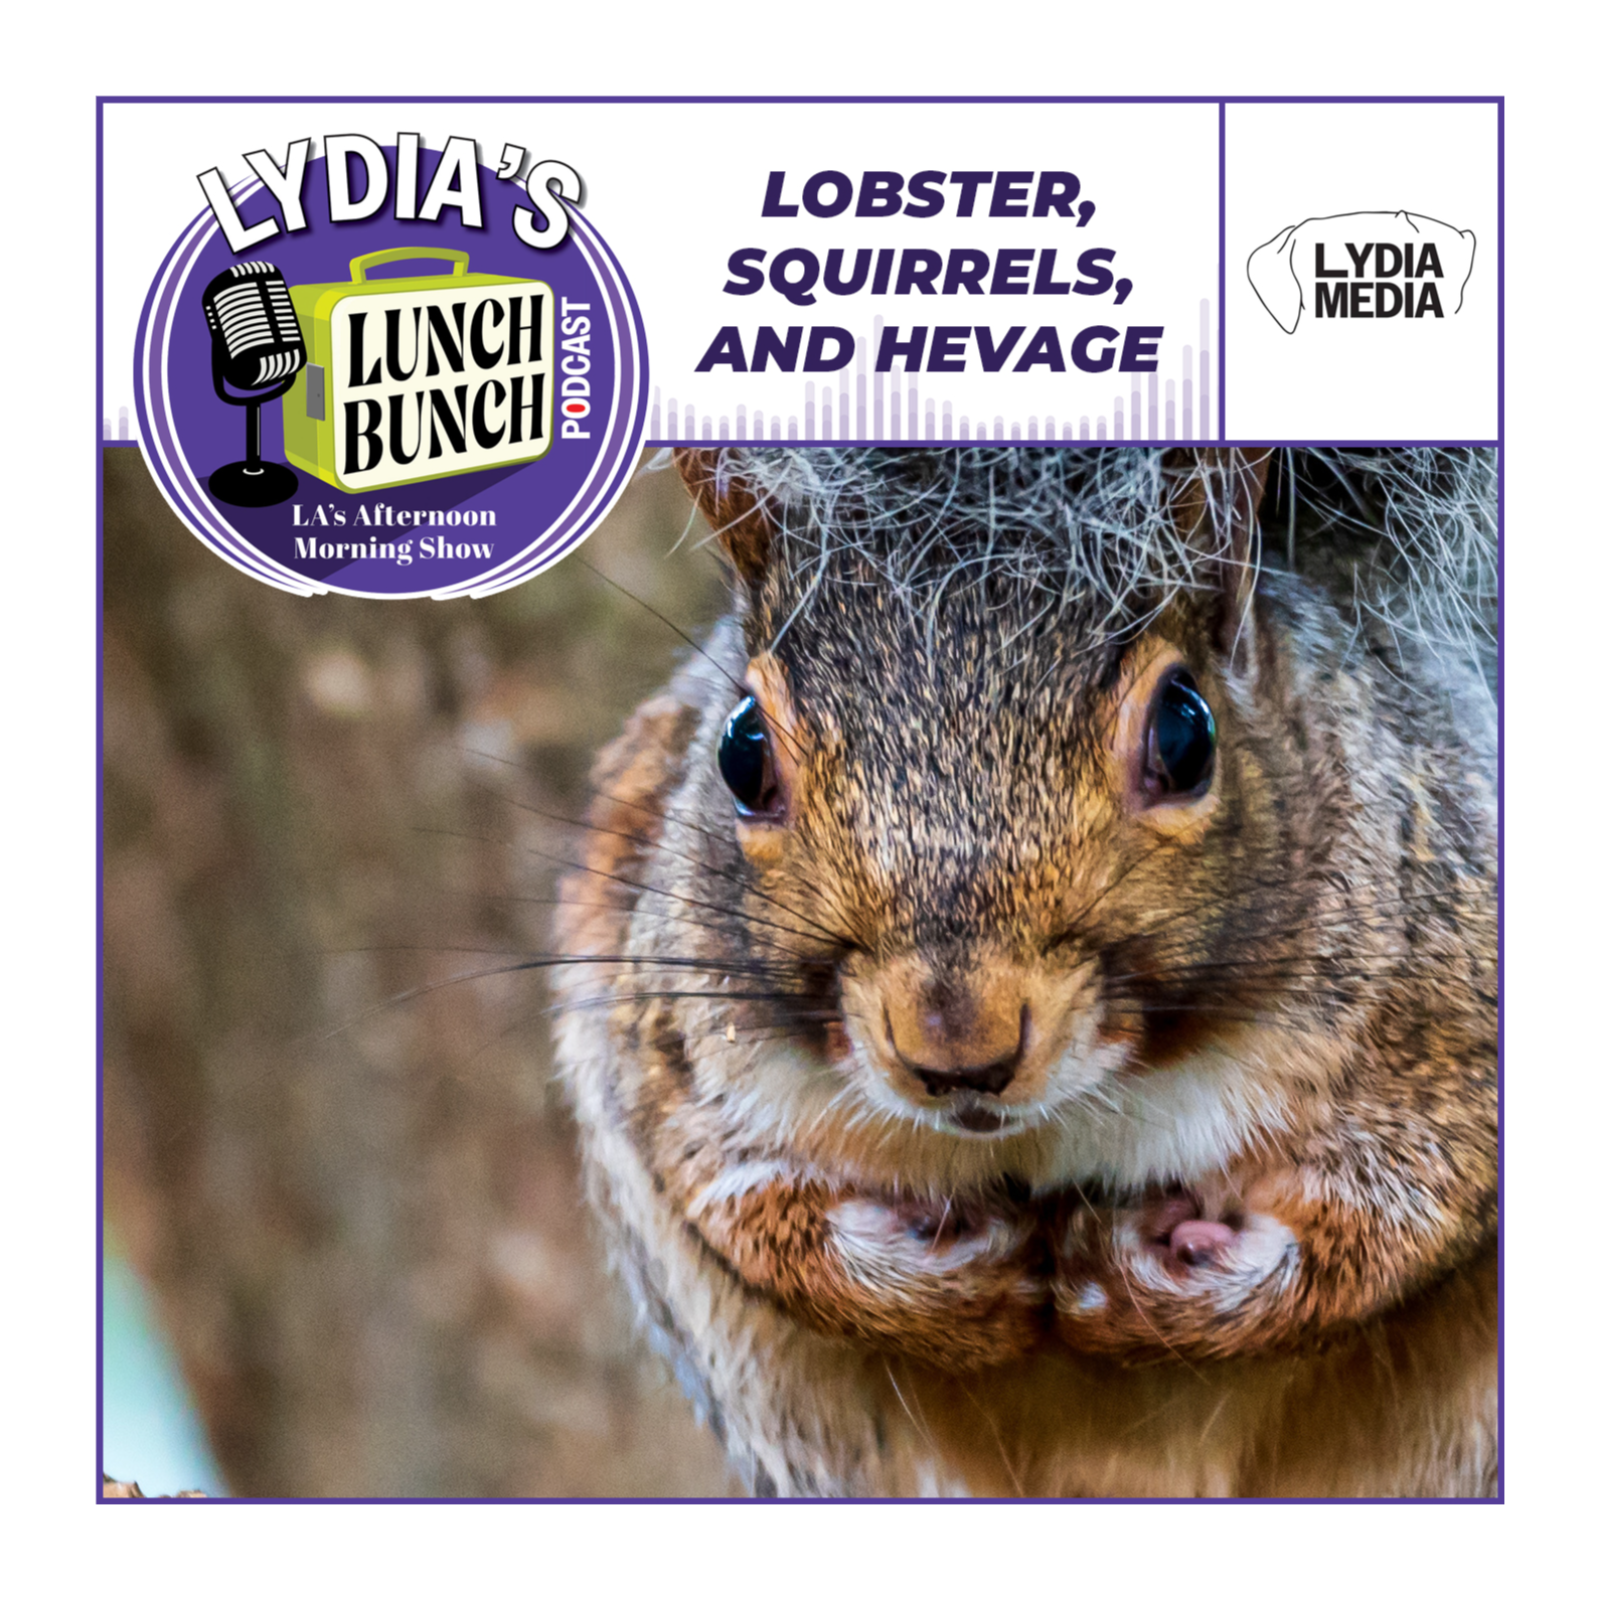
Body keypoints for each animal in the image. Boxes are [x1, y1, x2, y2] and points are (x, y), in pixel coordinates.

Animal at [551, 445, 1498, 1498]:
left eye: (1185, 733)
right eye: (740, 748)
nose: (958, 1050)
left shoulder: (1453, 986)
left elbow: (1403, 1215)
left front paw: (1171, 1284)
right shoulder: (656, 1015)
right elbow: (733, 1193)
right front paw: (933, 1279)